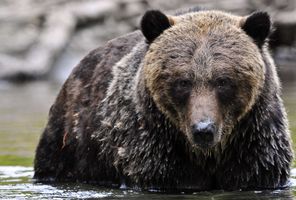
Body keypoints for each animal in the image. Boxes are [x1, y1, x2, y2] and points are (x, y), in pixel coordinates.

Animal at [33, 8, 292, 191]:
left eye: (223, 80)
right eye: (183, 81)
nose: (203, 129)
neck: (209, 154)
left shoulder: (255, 146)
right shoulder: (153, 149)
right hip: (71, 141)